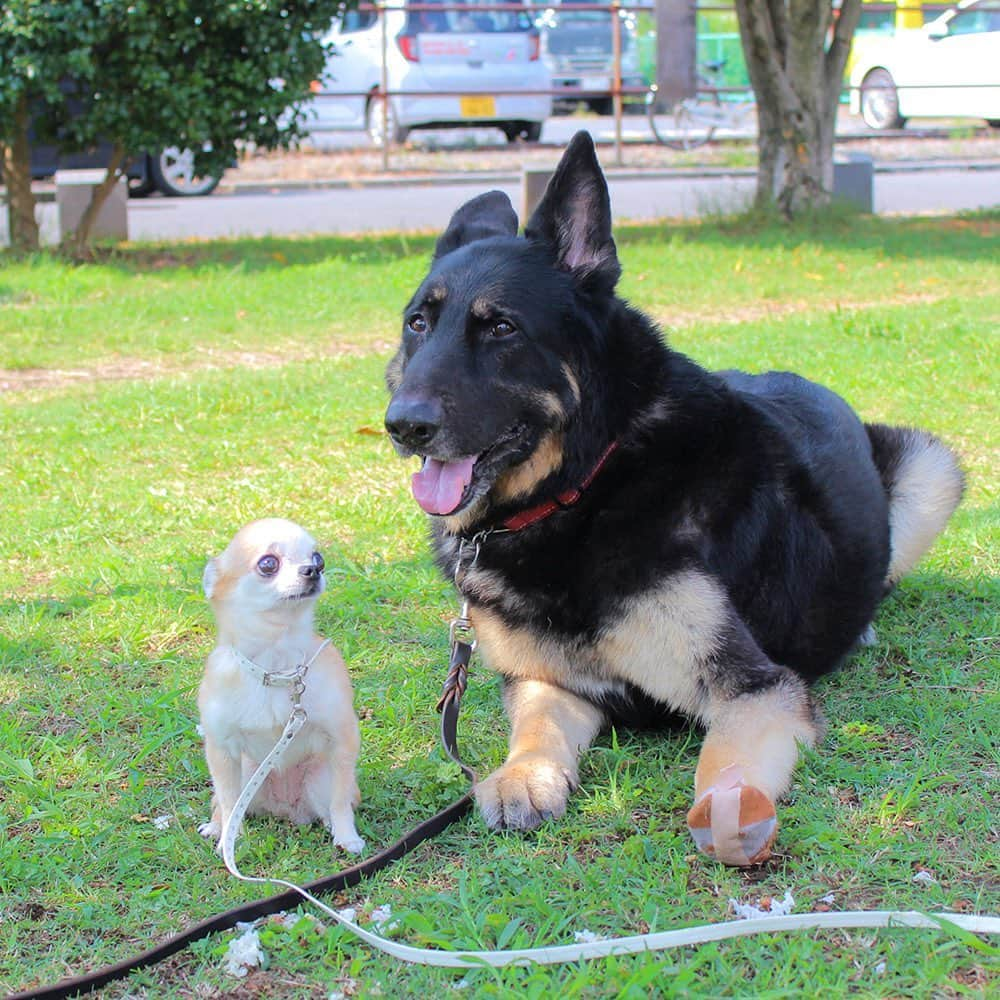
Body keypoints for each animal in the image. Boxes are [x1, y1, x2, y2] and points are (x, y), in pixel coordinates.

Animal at [380, 135, 960, 868]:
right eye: (417, 325)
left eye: (502, 328)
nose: (403, 425)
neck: (586, 490)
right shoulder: (552, 683)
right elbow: (535, 729)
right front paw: (519, 777)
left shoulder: (758, 690)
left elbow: (726, 763)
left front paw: (730, 808)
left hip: (931, 470)